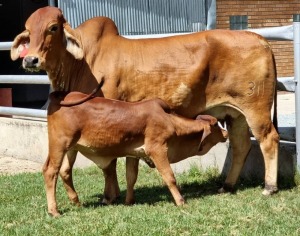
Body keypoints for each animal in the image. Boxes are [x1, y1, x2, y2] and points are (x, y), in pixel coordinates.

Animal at [11, 6, 278, 204]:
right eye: (28, 31)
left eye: (53, 28)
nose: (30, 59)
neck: (79, 63)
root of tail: (260, 39)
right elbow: (75, 164)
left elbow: (109, 163)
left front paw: (110, 196)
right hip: (235, 114)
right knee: (242, 145)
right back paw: (228, 185)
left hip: (256, 109)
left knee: (268, 140)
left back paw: (269, 186)